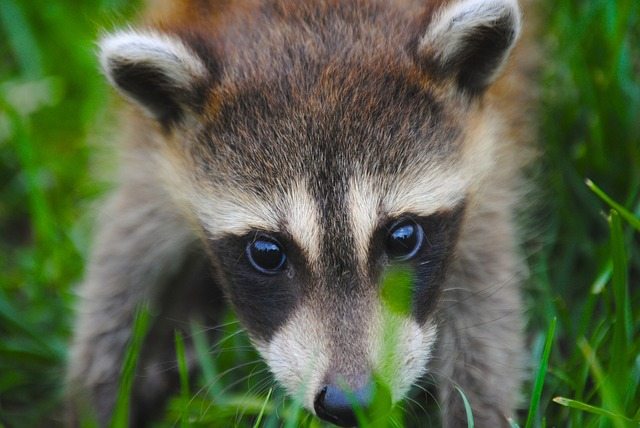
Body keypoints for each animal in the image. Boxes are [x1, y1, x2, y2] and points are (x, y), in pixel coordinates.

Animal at [68, 0, 537, 426]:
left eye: (402, 238)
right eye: (267, 253)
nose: (352, 403)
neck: (311, 19)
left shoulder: (487, 154)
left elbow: (485, 307)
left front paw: (479, 409)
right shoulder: (153, 156)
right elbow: (123, 263)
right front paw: (99, 400)